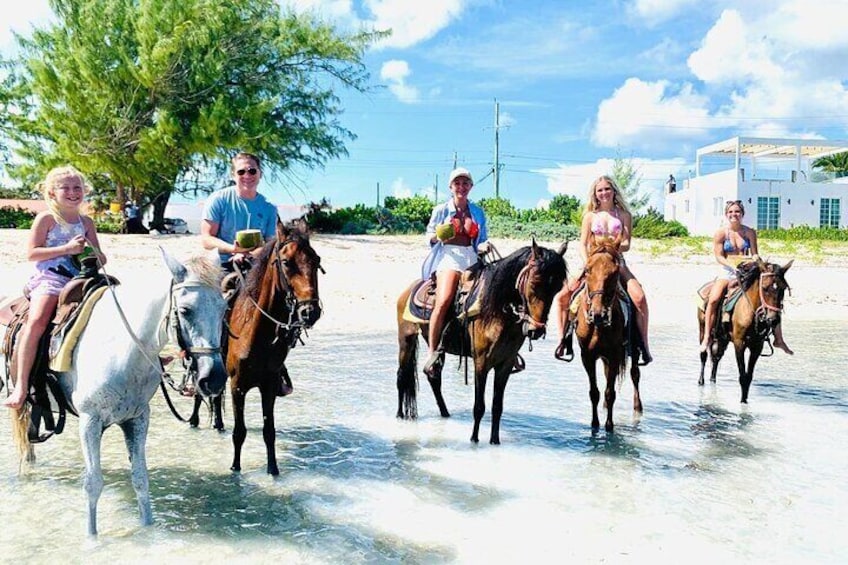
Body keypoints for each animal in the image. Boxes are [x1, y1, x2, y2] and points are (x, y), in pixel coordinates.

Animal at [6, 249, 230, 536]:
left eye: (224, 309)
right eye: (185, 310)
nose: (213, 379)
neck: (122, 349)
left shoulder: (137, 419)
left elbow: (141, 479)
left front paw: (148, 529)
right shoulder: (90, 421)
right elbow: (93, 484)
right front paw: (92, 538)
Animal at [222, 218, 322, 474]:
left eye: (316, 261)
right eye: (286, 262)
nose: (310, 312)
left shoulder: (269, 386)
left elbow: (269, 431)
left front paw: (273, 470)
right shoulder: (237, 386)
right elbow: (239, 432)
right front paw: (235, 469)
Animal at [394, 240, 568, 442]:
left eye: (557, 288)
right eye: (534, 282)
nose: (536, 330)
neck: (498, 311)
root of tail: (410, 288)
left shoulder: (505, 364)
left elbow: (497, 406)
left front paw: (495, 441)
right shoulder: (481, 362)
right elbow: (479, 406)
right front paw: (474, 440)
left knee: (434, 377)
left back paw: (445, 414)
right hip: (406, 339)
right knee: (401, 376)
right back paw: (399, 416)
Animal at [700, 256, 792, 400]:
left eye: (783, 288)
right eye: (765, 288)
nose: (774, 319)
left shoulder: (757, 346)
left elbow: (748, 377)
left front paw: (745, 401)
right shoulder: (739, 343)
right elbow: (743, 377)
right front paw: (743, 404)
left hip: (722, 338)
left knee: (716, 357)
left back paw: (713, 381)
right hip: (703, 328)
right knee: (703, 354)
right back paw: (701, 381)